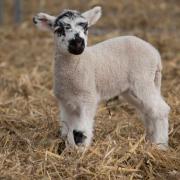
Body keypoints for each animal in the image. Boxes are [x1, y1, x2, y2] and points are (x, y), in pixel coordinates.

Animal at [33, 5, 170, 149]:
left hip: (142, 79)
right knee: (148, 110)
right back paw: (151, 140)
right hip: (133, 89)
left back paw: (161, 146)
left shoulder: (88, 98)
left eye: (86, 28)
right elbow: (67, 131)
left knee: (161, 109)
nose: (78, 43)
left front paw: (81, 150)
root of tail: (155, 54)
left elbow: (80, 132)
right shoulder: (65, 102)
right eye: (59, 29)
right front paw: (68, 149)